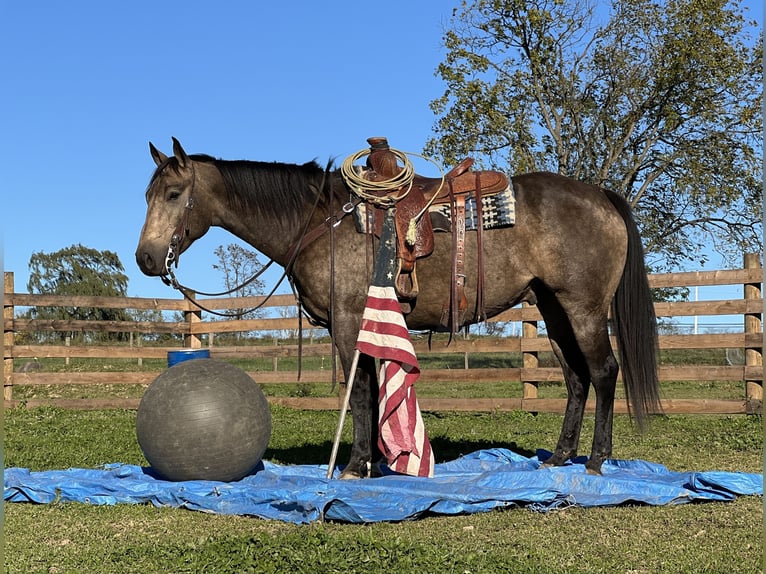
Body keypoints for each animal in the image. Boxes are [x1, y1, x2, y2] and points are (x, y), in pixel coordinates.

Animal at [135, 137, 664, 480]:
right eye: (148, 194)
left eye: (175, 194)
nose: (145, 258)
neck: (321, 221)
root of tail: (602, 196)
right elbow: (370, 387)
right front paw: (375, 460)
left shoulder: (348, 321)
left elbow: (361, 391)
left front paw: (354, 466)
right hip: (553, 310)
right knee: (576, 378)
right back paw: (558, 458)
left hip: (583, 309)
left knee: (603, 371)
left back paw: (595, 460)